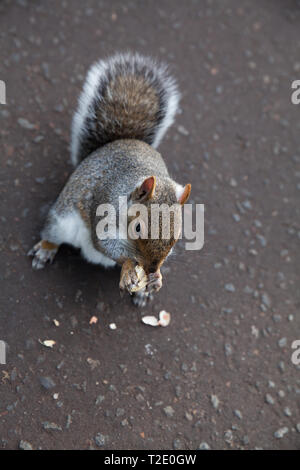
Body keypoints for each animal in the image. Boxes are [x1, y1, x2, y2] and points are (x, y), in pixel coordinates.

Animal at [29, 53, 191, 306]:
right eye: (137, 227)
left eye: (177, 235)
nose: (151, 269)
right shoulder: (104, 211)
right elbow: (107, 245)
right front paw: (129, 269)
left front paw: (156, 280)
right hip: (60, 220)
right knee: (53, 234)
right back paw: (46, 249)